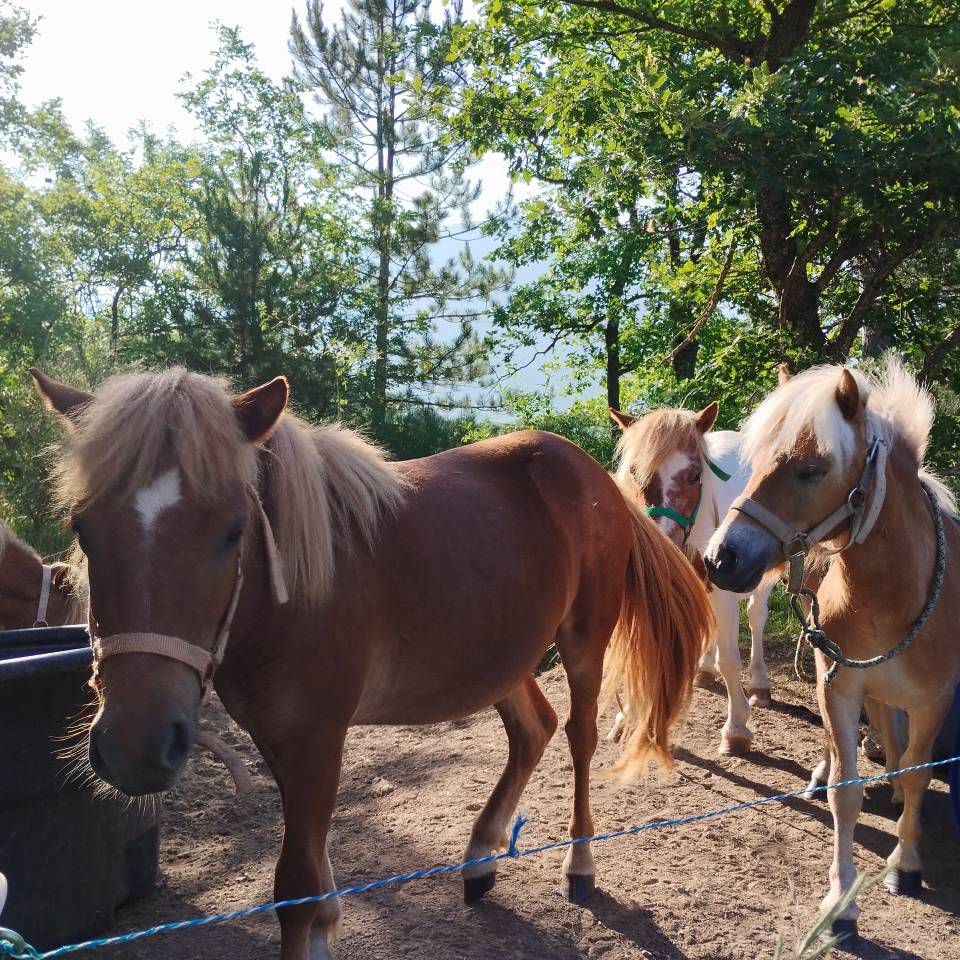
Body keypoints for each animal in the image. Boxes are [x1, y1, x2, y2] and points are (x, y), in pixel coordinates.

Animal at [30, 366, 713, 960]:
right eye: (84, 528)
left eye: (233, 530)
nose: (134, 747)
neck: (289, 592)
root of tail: (599, 477)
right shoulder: (280, 741)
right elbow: (314, 874)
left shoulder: (316, 741)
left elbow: (296, 887)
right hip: (501, 655)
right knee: (531, 730)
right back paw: (480, 857)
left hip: (583, 640)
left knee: (578, 735)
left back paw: (579, 862)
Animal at [608, 402, 776, 755]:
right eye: (633, 472)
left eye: (695, 475)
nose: (661, 547)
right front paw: (626, 717)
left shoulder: (724, 594)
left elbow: (730, 660)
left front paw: (736, 728)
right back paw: (704, 669)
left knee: (757, 616)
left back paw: (759, 683)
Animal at [704, 360, 960, 937]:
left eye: (810, 469)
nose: (719, 559)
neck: (895, 592)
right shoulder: (840, 685)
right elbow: (847, 791)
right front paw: (840, 903)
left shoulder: (934, 700)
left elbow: (919, 775)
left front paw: (905, 864)